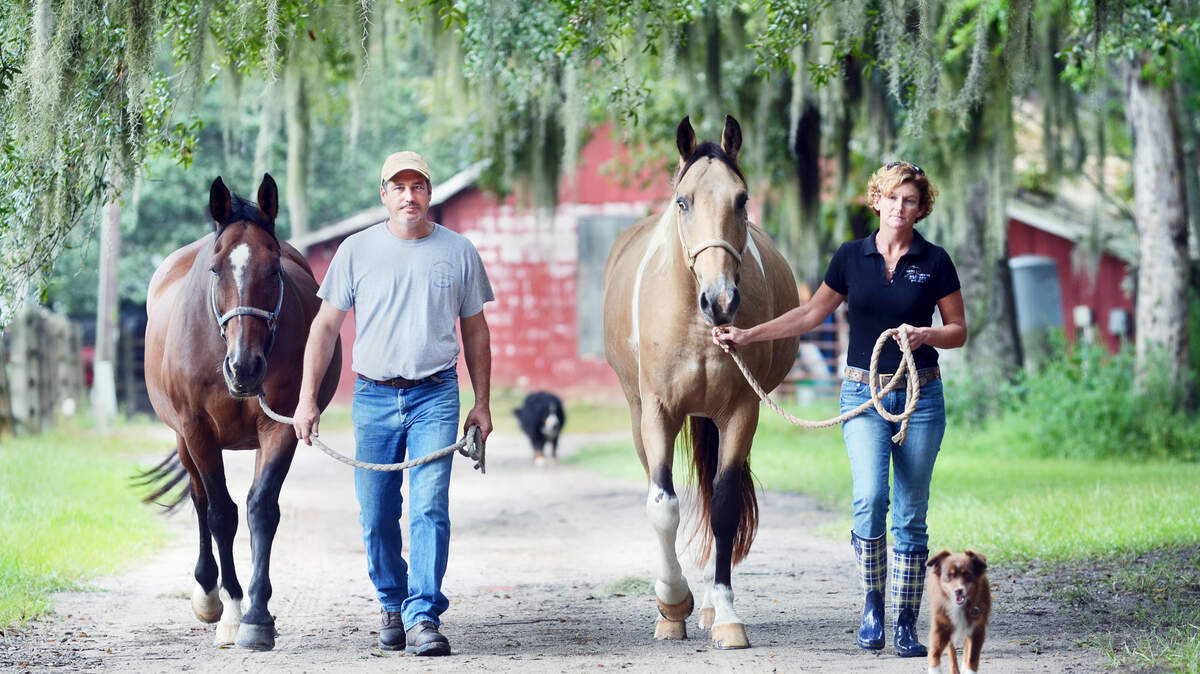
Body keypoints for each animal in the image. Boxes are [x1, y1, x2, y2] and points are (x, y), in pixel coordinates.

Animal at [141, 174, 341, 650]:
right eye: (216, 269)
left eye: (275, 269)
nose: (244, 367)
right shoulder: (197, 431)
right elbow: (220, 514)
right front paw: (231, 609)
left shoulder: (281, 425)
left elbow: (260, 509)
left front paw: (257, 615)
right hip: (183, 438)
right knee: (200, 502)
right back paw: (207, 595)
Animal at [602, 116, 800, 649]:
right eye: (683, 201)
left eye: (742, 199)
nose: (721, 300)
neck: (695, 322)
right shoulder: (657, 412)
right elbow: (663, 506)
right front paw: (673, 604)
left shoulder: (741, 412)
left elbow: (725, 507)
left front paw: (726, 614)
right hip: (639, 415)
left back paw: (711, 606)